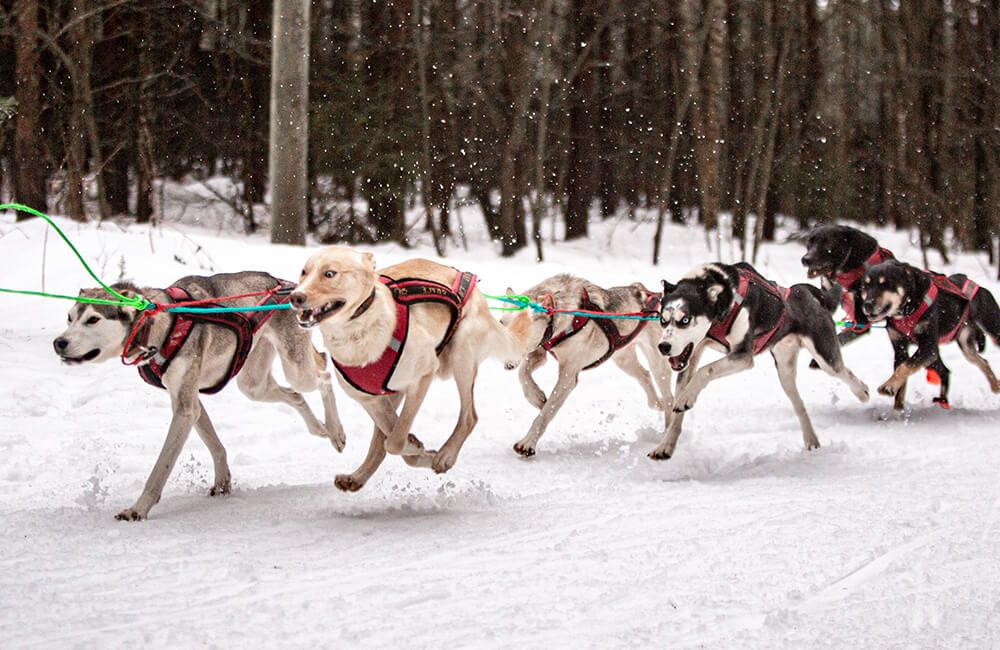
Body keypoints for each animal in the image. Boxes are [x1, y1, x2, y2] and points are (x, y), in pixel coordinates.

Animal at [53, 270, 344, 520]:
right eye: (69, 317)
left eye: (93, 319)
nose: (59, 342)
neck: (160, 326)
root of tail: (284, 284)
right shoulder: (188, 401)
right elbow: (215, 444)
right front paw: (223, 482)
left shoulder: (185, 409)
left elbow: (160, 467)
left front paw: (138, 509)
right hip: (253, 385)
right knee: (295, 395)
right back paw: (320, 429)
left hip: (297, 368)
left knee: (324, 372)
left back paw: (336, 431)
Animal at [290, 248, 532, 492]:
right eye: (303, 272)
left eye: (329, 273)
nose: (295, 297)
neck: (357, 334)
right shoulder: (371, 400)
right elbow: (390, 438)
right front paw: (417, 448)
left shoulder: (423, 376)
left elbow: (395, 442)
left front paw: (420, 449)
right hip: (394, 392)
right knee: (380, 442)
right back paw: (358, 477)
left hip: (461, 354)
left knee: (469, 416)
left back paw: (446, 455)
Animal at [500, 274, 672, 456]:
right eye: (501, 323)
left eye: (522, 328)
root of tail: (648, 293)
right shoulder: (539, 353)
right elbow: (523, 375)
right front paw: (536, 397)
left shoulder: (568, 377)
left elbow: (546, 413)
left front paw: (527, 443)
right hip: (624, 359)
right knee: (645, 376)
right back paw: (656, 403)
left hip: (658, 363)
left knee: (669, 398)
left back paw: (667, 433)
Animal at [648, 260, 868, 458]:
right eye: (662, 320)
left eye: (685, 320)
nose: (663, 347)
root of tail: (807, 293)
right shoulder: (689, 357)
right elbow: (679, 406)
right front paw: (665, 446)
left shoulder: (743, 356)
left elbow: (705, 370)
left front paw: (687, 398)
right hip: (785, 372)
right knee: (799, 405)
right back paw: (811, 440)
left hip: (825, 356)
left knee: (841, 370)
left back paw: (862, 391)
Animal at [860, 256, 1000, 408]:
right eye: (865, 286)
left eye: (885, 284)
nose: (867, 304)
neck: (908, 309)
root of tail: (979, 287)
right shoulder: (900, 348)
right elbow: (901, 377)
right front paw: (898, 408)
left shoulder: (928, 348)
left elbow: (904, 367)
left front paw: (888, 386)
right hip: (966, 346)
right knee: (982, 361)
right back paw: (995, 386)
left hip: (992, 329)